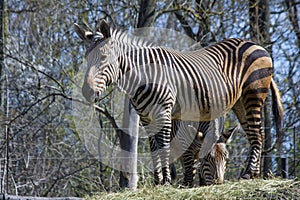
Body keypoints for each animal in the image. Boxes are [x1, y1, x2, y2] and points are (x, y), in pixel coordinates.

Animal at [74, 19, 284, 184]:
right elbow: (154, 147)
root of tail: (256, 44)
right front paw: (158, 182)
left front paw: (167, 180)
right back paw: (253, 175)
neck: (144, 75)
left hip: (254, 93)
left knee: (258, 134)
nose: (87, 92)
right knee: (255, 133)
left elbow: (165, 145)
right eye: (86, 58)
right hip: (240, 102)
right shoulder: (146, 117)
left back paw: (249, 174)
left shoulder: (164, 112)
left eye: (103, 57)